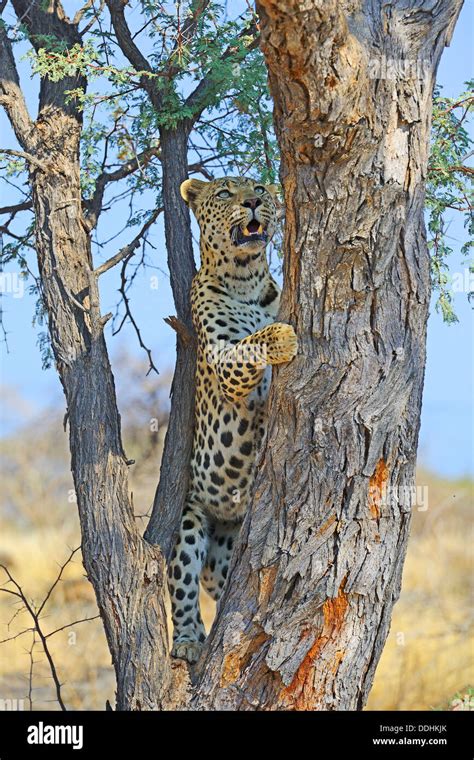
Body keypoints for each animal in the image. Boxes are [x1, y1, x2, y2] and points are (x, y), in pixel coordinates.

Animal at [168, 175, 298, 664]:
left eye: (258, 185)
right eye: (225, 193)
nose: (254, 201)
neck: (246, 280)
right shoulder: (224, 362)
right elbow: (248, 345)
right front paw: (279, 336)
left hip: (229, 550)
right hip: (188, 523)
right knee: (182, 587)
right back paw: (188, 641)